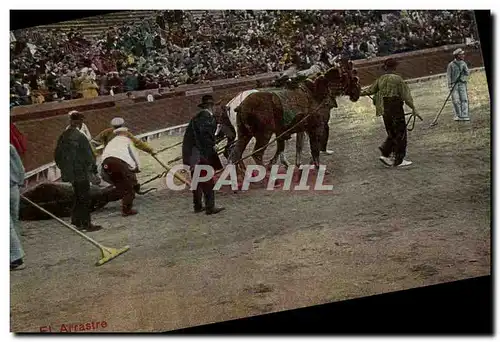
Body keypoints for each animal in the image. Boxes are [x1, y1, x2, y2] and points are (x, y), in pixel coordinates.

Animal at [229, 60, 362, 171]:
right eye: (354, 78)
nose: (357, 93)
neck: (319, 92)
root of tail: (241, 106)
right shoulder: (316, 127)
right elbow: (315, 148)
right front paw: (316, 166)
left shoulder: (302, 128)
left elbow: (299, 146)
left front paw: (299, 164)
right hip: (264, 134)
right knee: (256, 154)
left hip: (244, 133)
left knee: (236, 154)